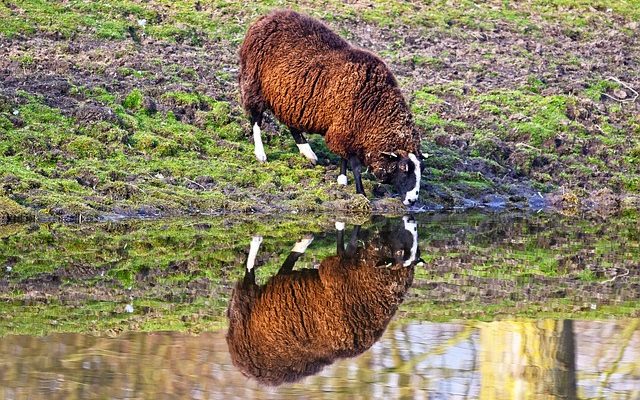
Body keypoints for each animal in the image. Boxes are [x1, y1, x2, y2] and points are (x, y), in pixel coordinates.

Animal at [226, 217, 420, 386]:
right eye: (401, 249)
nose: (410, 220)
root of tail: (241, 364)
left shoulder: (335, 267)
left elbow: (347, 245)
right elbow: (348, 243)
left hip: (250, 306)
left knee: (262, 275)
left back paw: (287, 242)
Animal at [240, 10, 424, 205]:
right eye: (403, 169)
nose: (413, 200)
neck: (374, 106)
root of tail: (267, 16)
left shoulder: (344, 129)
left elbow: (345, 157)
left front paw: (342, 179)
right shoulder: (344, 129)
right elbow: (355, 165)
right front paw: (360, 192)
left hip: (288, 98)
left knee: (291, 124)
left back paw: (308, 153)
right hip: (254, 84)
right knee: (256, 119)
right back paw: (261, 154)